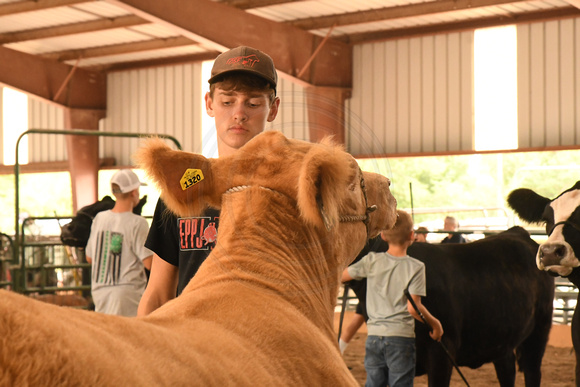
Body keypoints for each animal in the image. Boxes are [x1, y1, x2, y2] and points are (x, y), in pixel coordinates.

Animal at [348, 227, 552, 387]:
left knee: (532, 371)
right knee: (507, 369)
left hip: (540, 329)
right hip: (502, 334)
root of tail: (518, 232)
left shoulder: (442, 350)